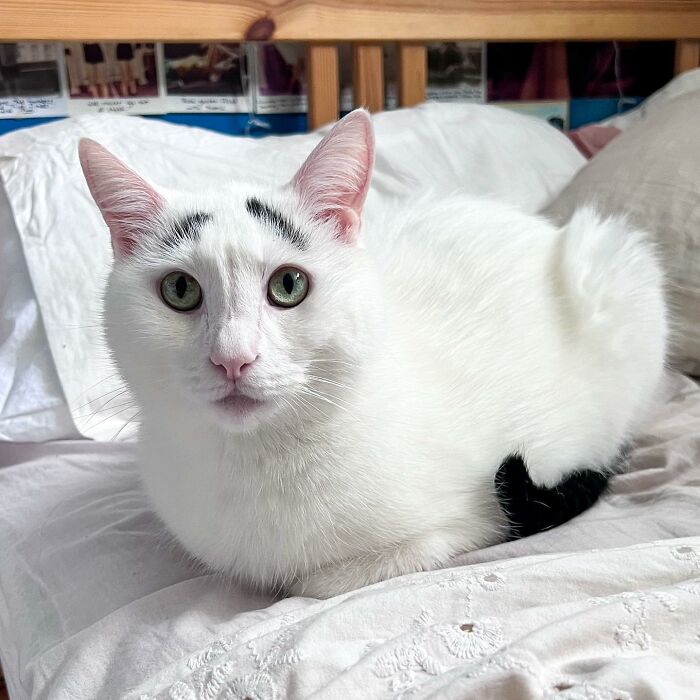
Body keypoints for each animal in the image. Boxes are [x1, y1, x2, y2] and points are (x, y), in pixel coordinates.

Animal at [78, 109, 668, 596]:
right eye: (180, 290)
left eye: (288, 284)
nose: (233, 358)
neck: (258, 462)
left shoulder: (468, 523)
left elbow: (322, 584)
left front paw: (305, 581)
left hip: (618, 270)